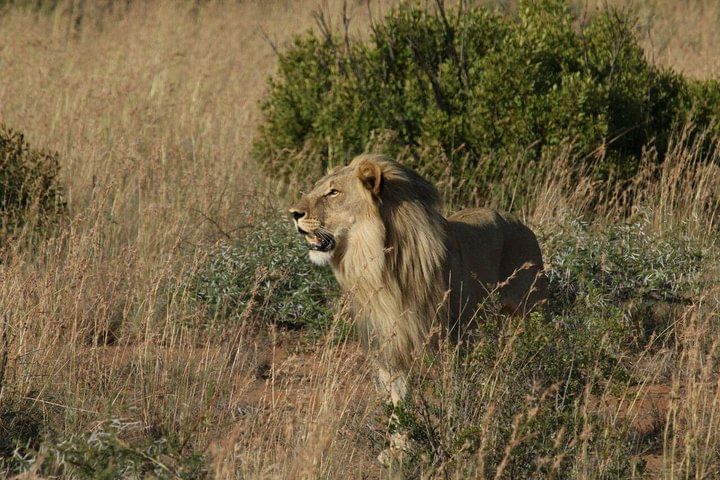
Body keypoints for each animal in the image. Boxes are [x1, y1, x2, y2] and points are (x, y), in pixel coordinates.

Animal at [289, 153, 547, 455]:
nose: (293, 213)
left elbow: (449, 394)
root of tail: (518, 221)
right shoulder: (388, 344)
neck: (379, 265)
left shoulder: (448, 341)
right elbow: (398, 402)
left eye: (333, 192)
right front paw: (399, 451)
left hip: (531, 311)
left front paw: (453, 436)